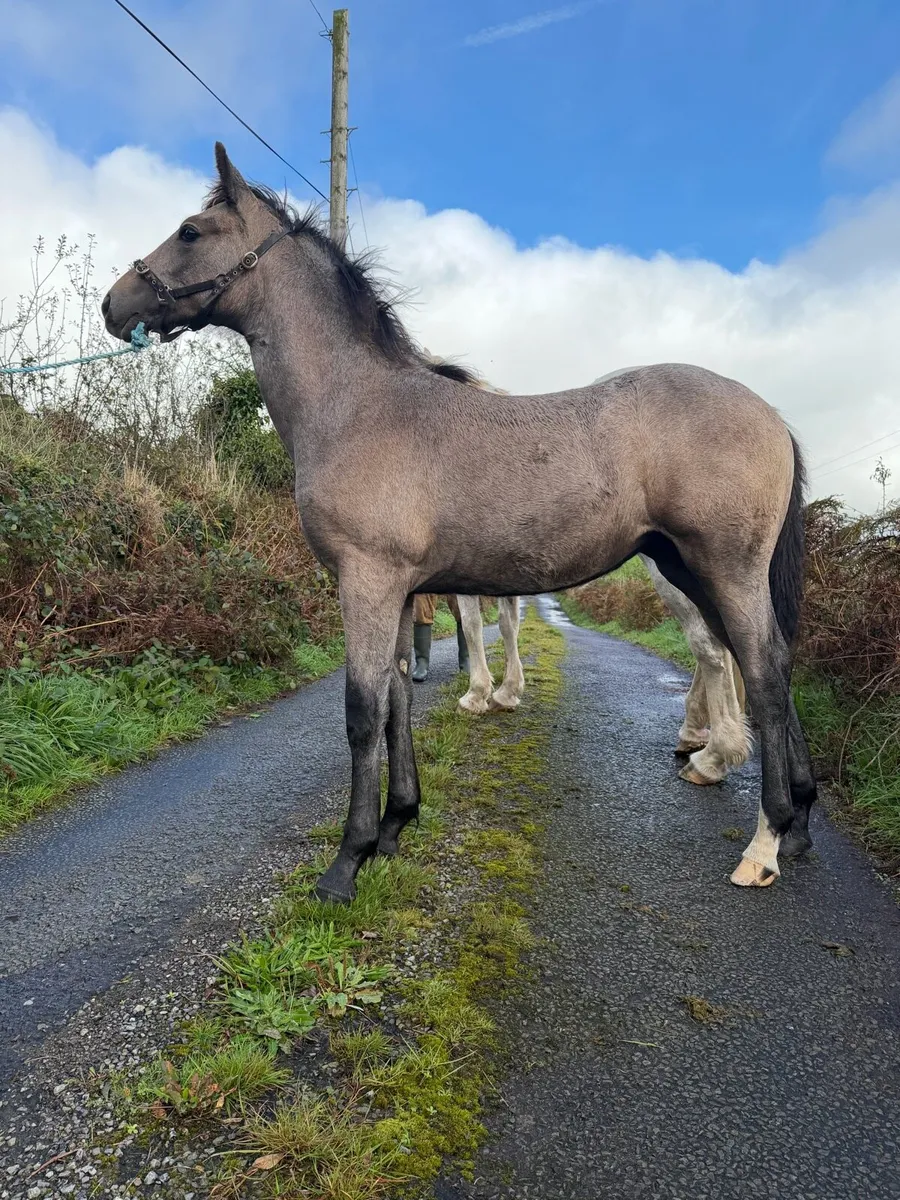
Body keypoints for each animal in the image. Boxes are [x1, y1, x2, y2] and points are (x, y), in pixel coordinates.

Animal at [102, 143, 816, 902]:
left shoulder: (367, 582)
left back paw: (763, 842)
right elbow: (395, 701)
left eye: (189, 232)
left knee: (763, 670)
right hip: (690, 567)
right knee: (762, 663)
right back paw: (795, 823)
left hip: (723, 568)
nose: (113, 304)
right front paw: (393, 830)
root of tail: (771, 415)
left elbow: (362, 713)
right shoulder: (399, 590)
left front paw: (345, 863)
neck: (359, 407)